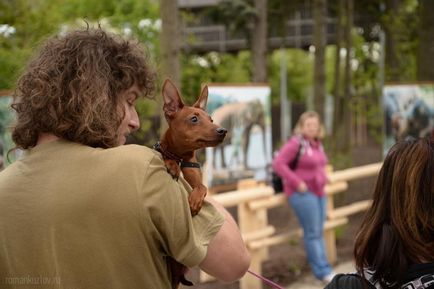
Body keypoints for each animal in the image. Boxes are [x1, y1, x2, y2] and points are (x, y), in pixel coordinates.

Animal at [153, 79, 227, 288]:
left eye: (211, 119)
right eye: (194, 119)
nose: (223, 131)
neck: (181, 158)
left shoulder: (196, 176)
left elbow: (202, 187)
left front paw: (194, 201)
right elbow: (166, 156)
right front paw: (171, 165)